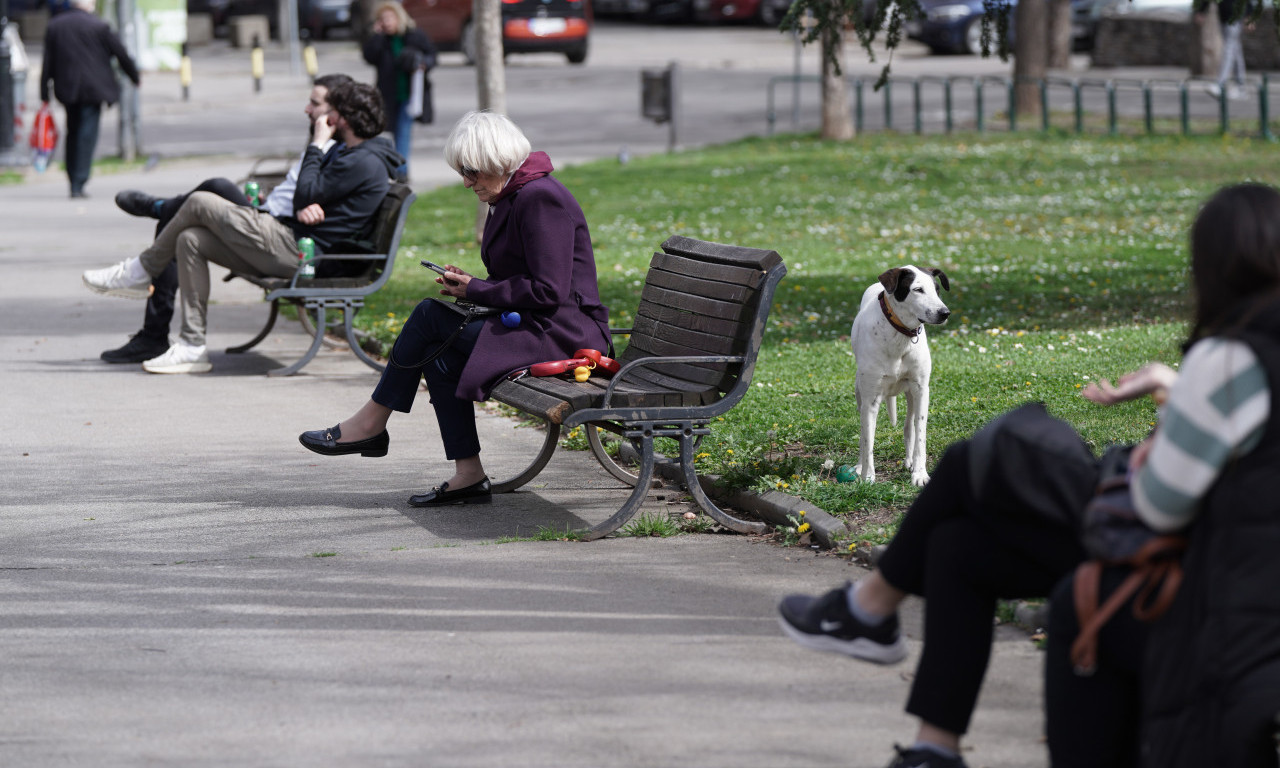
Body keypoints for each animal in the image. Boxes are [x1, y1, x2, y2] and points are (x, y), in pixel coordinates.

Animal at [849, 267, 952, 486]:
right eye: (918, 289)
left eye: (937, 289)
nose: (944, 313)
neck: (900, 334)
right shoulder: (871, 399)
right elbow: (868, 439)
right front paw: (868, 476)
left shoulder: (921, 390)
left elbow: (920, 435)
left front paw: (920, 473)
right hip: (860, 392)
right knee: (863, 433)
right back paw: (860, 466)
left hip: (911, 394)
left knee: (908, 427)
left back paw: (909, 461)